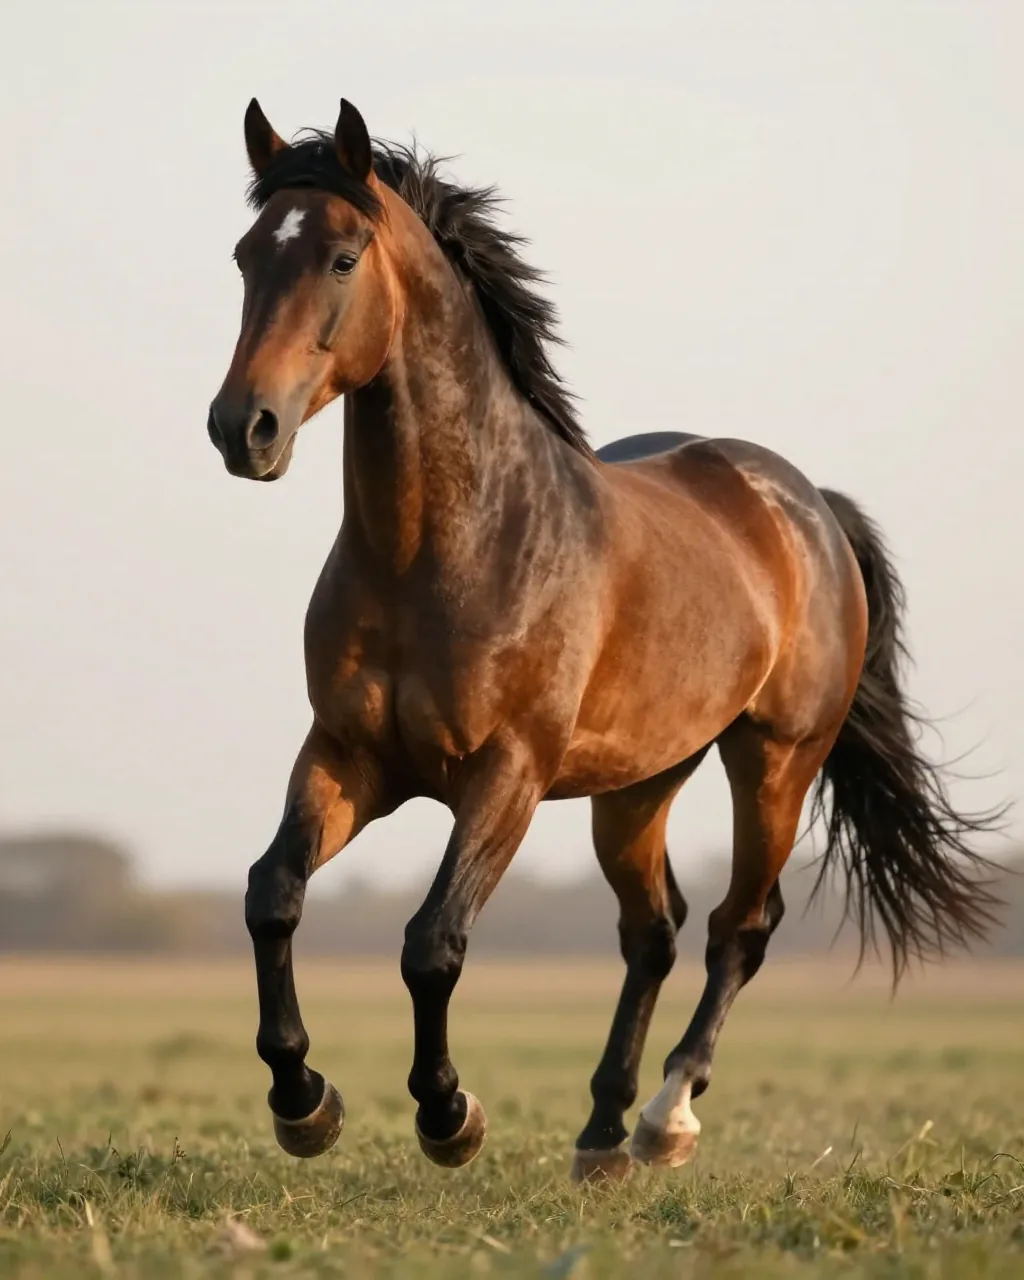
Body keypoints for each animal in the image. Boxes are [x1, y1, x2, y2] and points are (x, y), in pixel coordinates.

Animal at [207, 96, 1000, 1181]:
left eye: (339, 257)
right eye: (246, 255)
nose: (241, 428)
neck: (446, 545)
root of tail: (808, 508)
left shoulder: (507, 773)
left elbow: (432, 941)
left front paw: (448, 1116)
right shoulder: (347, 757)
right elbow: (273, 894)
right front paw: (303, 1101)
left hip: (774, 763)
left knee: (737, 929)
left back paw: (666, 1118)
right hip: (639, 784)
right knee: (653, 932)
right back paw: (601, 1135)